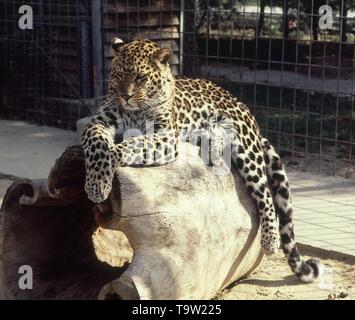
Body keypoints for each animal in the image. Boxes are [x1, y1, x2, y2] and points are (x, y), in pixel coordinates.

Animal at [81, 38, 326, 282]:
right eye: (117, 75)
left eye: (140, 78)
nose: (125, 96)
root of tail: (242, 105)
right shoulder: (98, 122)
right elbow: (97, 146)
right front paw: (96, 183)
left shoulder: (166, 137)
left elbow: (126, 146)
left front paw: (99, 183)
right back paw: (213, 149)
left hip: (247, 150)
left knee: (265, 193)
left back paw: (270, 239)